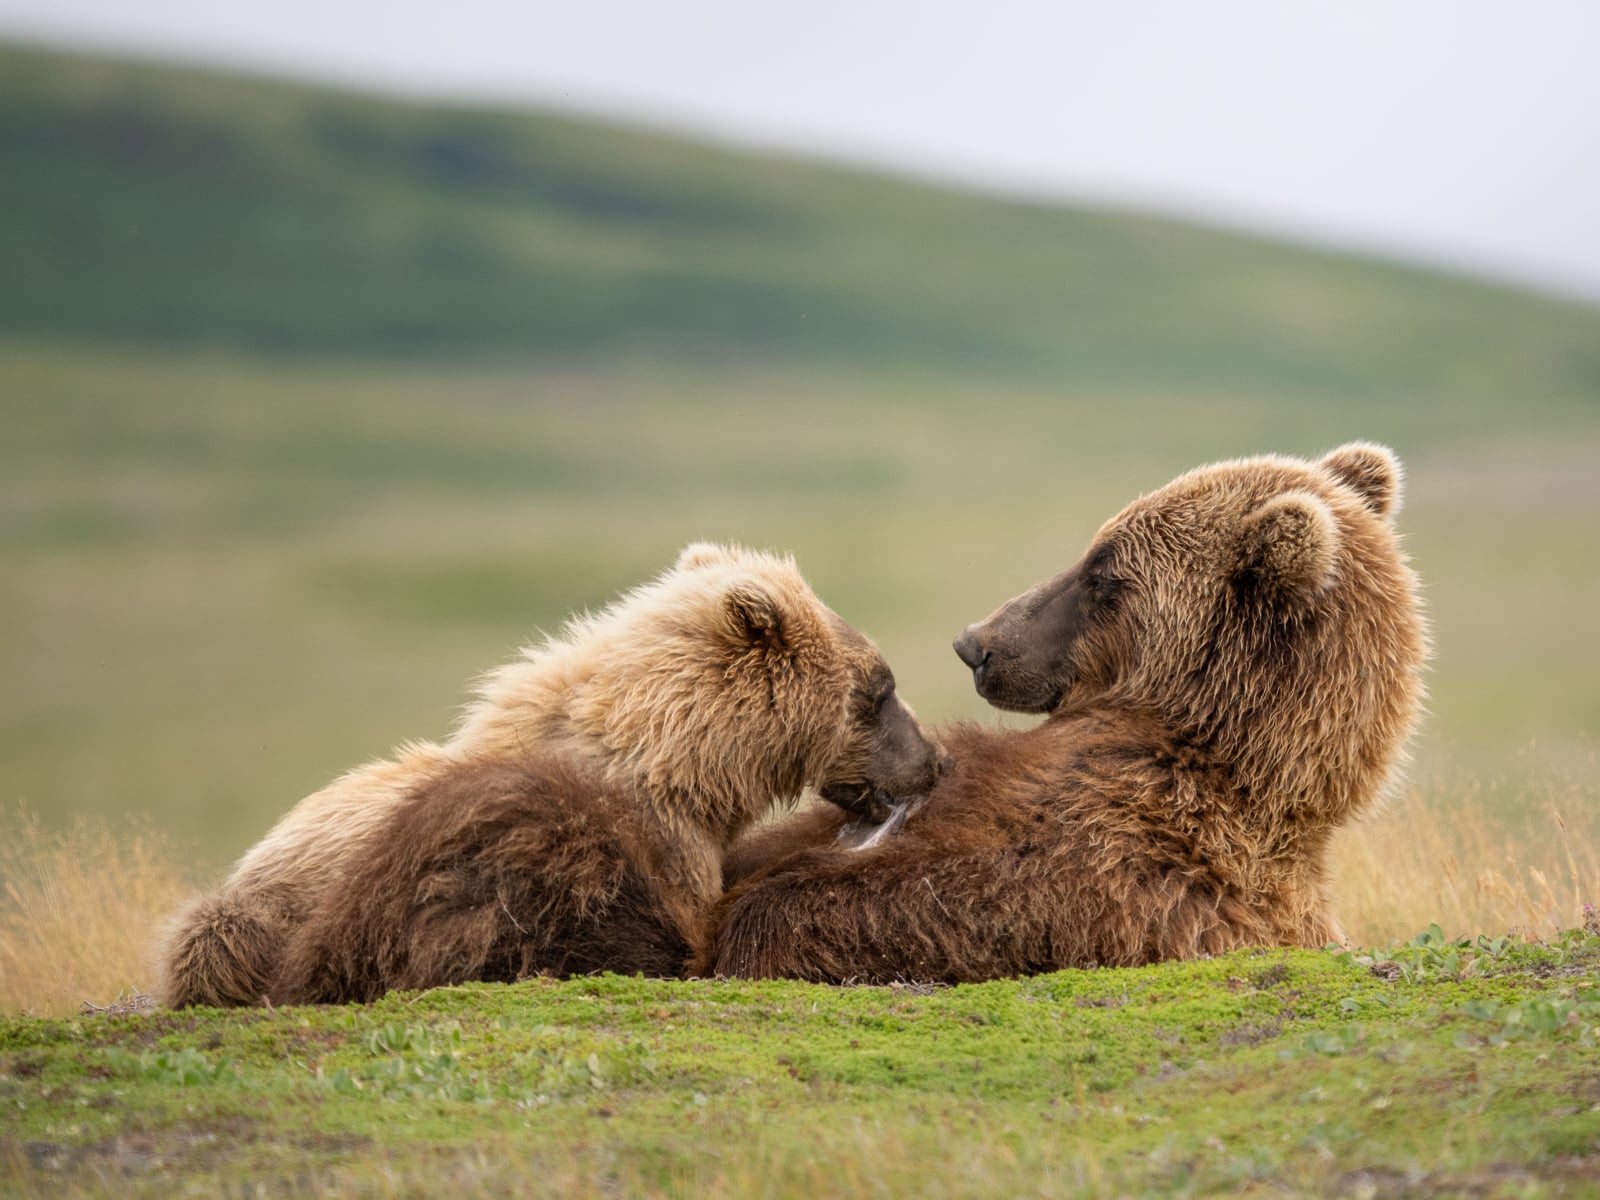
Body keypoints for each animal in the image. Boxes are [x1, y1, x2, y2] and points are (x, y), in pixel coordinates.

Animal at [157, 543, 945, 1007]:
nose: (934, 759)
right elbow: (691, 929)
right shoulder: (658, 846)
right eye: (879, 689)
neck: (685, 760)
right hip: (268, 915)